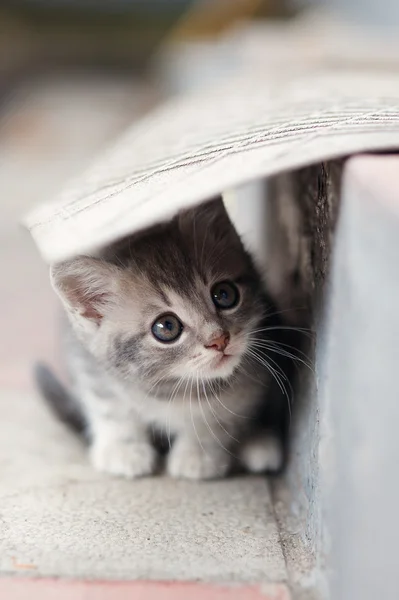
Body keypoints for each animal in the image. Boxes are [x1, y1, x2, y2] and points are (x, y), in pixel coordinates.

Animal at [37, 199, 294, 480]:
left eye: (224, 294)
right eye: (166, 327)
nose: (219, 339)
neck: (169, 387)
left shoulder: (248, 383)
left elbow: (219, 416)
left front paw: (198, 453)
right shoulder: (86, 362)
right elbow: (108, 406)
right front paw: (123, 448)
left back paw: (260, 443)